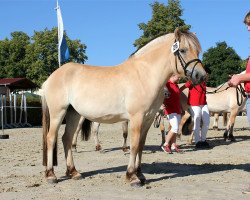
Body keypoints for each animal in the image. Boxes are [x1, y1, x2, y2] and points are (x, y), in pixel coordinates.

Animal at [41, 28, 205, 187]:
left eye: (198, 51)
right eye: (183, 50)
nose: (201, 76)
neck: (144, 75)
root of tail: (51, 77)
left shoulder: (148, 118)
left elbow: (140, 145)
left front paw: (140, 174)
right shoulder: (136, 118)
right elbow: (134, 145)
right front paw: (132, 177)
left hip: (73, 113)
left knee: (66, 138)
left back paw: (73, 172)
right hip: (58, 113)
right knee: (51, 138)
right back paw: (51, 175)